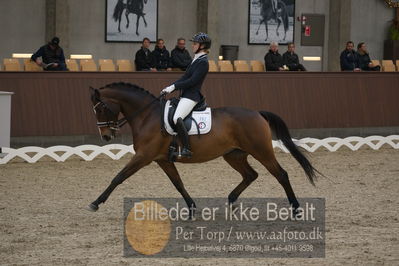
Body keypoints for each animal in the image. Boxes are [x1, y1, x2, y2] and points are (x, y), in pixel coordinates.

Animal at [87, 82, 318, 216]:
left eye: (101, 108)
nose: (106, 136)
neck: (147, 116)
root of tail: (257, 113)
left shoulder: (143, 157)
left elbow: (118, 177)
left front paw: (96, 202)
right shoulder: (162, 159)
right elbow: (178, 183)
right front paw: (191, 207)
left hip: (261, 151)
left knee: (281, 174)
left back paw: (296, 209)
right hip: (234, 155)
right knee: (250, 175)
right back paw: (231, 200)